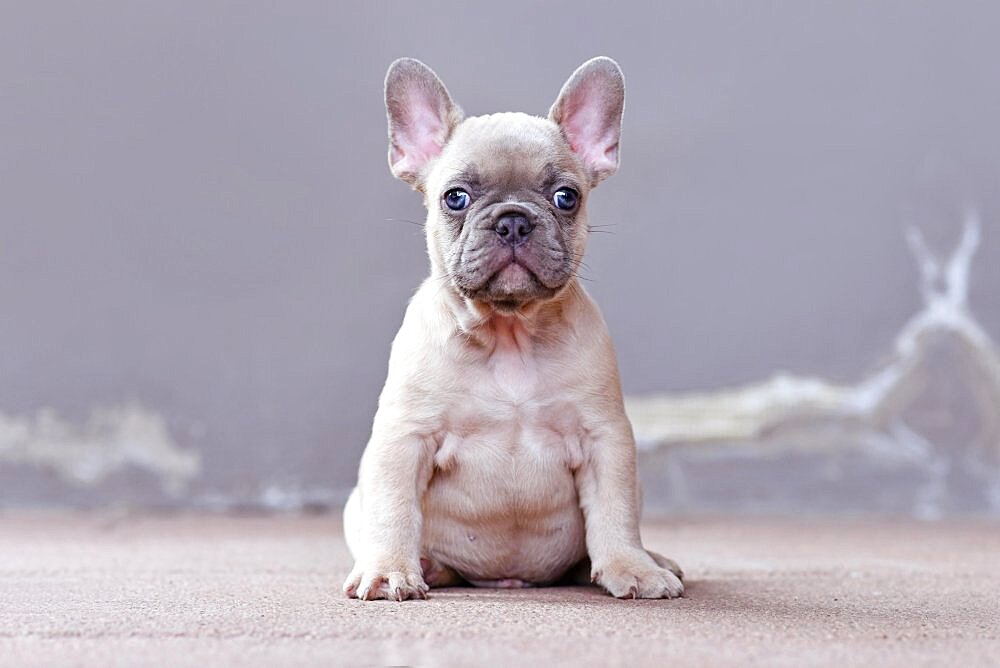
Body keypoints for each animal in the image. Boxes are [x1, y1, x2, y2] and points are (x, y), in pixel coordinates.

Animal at [340, 57, 684, 600]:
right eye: (455, 198)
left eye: (566, 197)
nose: (514, 220)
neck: (510, 332)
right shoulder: (404, 438)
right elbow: (393, 509)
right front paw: (389, 569)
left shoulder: (605, 440)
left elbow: (615, 513)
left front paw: (633, 567)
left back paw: (653, 559)